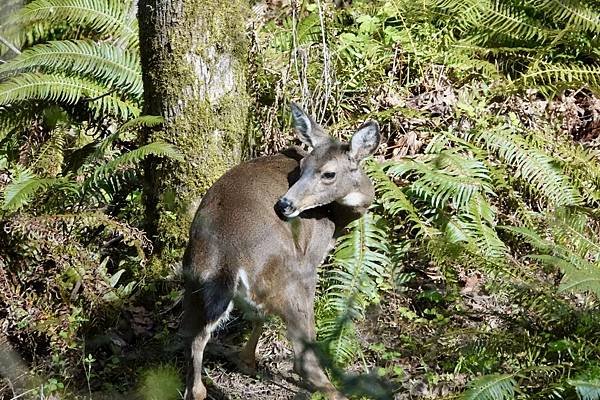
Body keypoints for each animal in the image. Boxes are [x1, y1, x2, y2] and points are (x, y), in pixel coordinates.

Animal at [180, 104, 382, 400]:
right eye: (303, 167)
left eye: (328, 173)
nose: (284, 204)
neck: (336, 218)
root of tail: (227, 259)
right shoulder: (311, 256)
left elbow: (258, 314)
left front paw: (247, 362)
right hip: (292, 276)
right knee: (303, 360)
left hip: (196, 278)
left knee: (194, 341)